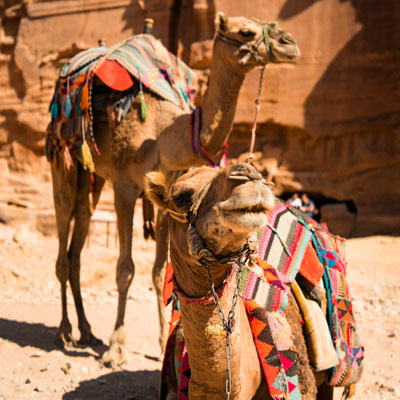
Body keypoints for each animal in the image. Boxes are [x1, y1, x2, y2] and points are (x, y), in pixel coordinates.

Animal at [48, 11, 300, 366]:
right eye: (245, 31)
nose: (289, 43)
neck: (163, 135)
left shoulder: (166, 199)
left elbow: (158, 271)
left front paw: (158, 343)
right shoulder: (126, 186)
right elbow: (125, 269)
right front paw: (117, 348)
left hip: (92, 177)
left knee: (78, 238)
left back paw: (86, 330)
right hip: (63, 160)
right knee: (63, 226)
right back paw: (66, 330)